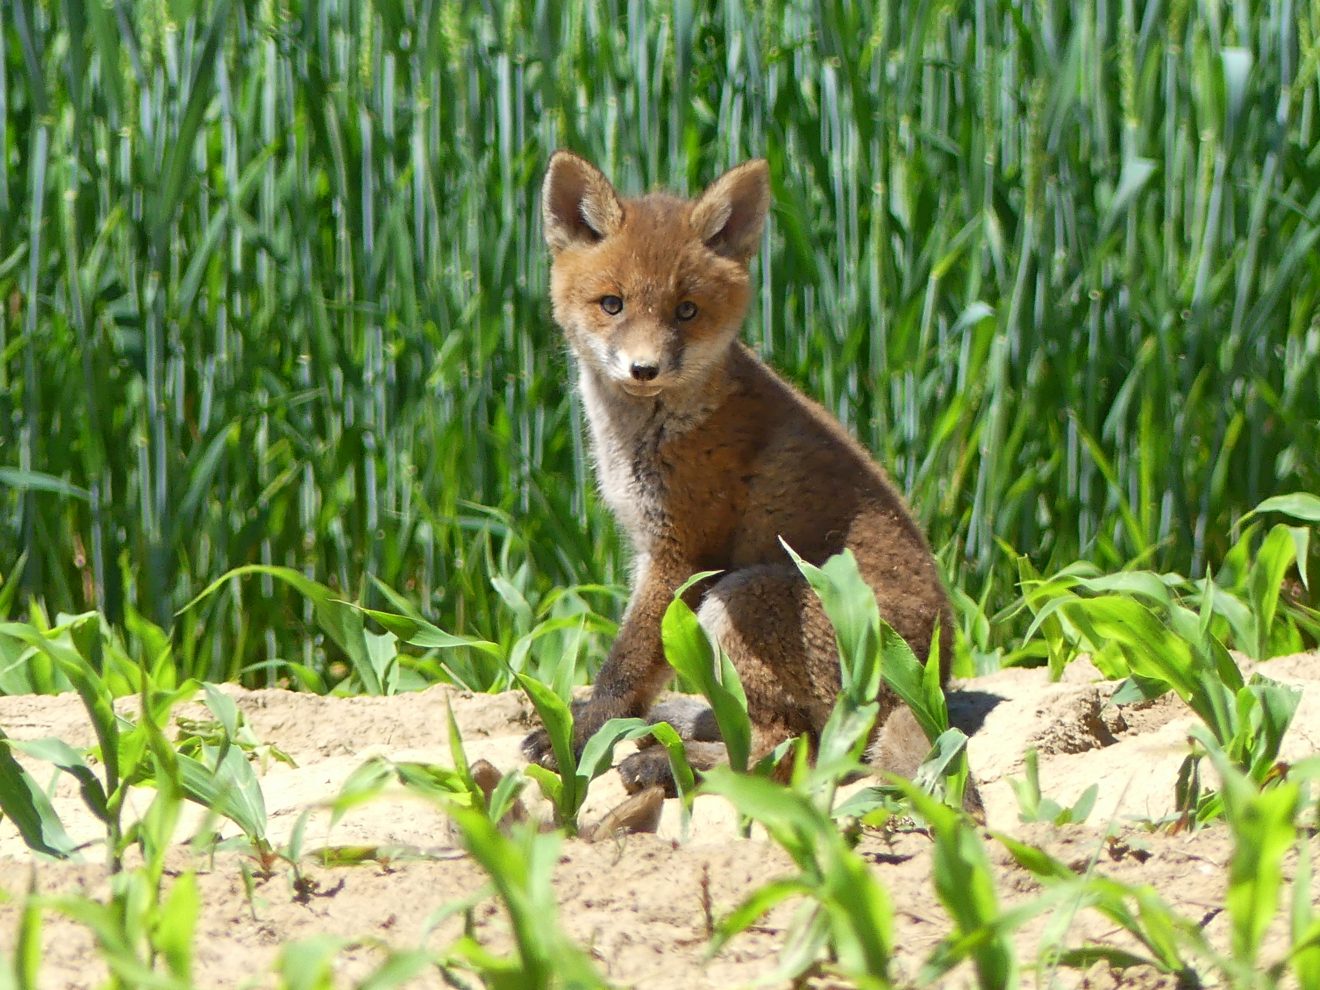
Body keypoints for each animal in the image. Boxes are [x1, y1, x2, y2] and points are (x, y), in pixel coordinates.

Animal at [522, 150, 954, 794]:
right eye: (612, 304)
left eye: (686, 311)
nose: (644, 369)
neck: (648, 432)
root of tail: (930, 686)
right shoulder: (648, 547)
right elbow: (640, 669)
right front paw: (598, 727)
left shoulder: (684, 554)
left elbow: (624, 669)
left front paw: (579, 739)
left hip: (740, 597)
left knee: (788, 747)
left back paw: (668, 765)